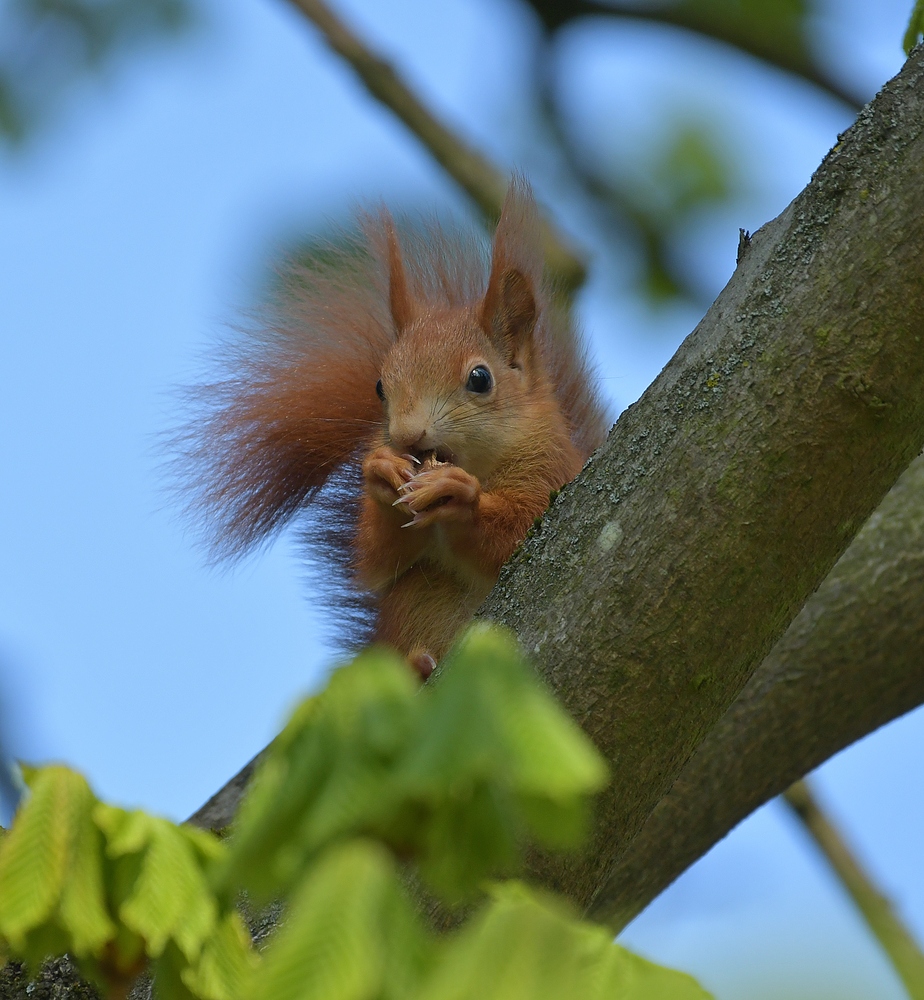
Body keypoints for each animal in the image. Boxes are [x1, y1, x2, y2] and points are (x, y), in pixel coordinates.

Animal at [183, 180, 608, 680]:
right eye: (380, 386)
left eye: (480, 379)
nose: (405, 436)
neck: (482, 464)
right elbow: (374, 563)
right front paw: (382, 473)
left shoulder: (551, 470)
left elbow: (521, 530)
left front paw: (459, 497)